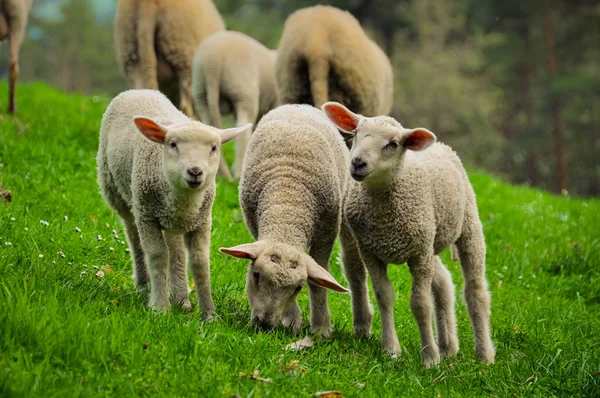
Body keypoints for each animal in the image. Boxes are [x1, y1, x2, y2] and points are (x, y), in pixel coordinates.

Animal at [96, 89, 251, 318]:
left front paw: (209, 314)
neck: (185, 199)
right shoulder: (147, 216)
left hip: (171, 220)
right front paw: (160, 307)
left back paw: (181, 298)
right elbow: (158, 255)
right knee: (134, 238)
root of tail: (138, 91)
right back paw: (145, 285)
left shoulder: (202, 221)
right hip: (121, 196)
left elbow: (199, 261)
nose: (195, 171)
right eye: (173, 144)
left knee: (176, 249)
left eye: (214, 148)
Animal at [220, 103, 352, 336]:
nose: (264, 324)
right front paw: (291, 322)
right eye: (256, 274)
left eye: (298, 287)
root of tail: (297, 105)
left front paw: (321, 329)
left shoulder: (326, 235)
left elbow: (318, 282)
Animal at [322, 101, 494, 366]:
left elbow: (420, 305)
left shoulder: (418, 256)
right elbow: (384, 295)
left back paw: (484, 355)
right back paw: (448, 347)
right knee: (444, 283)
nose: (358, 163)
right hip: (428, 240)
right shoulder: (372, 251)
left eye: (393, 143)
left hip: (467, 226)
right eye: (357, 133)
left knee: (475, 291)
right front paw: (391, 349)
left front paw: (429, 358)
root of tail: (442, 145)